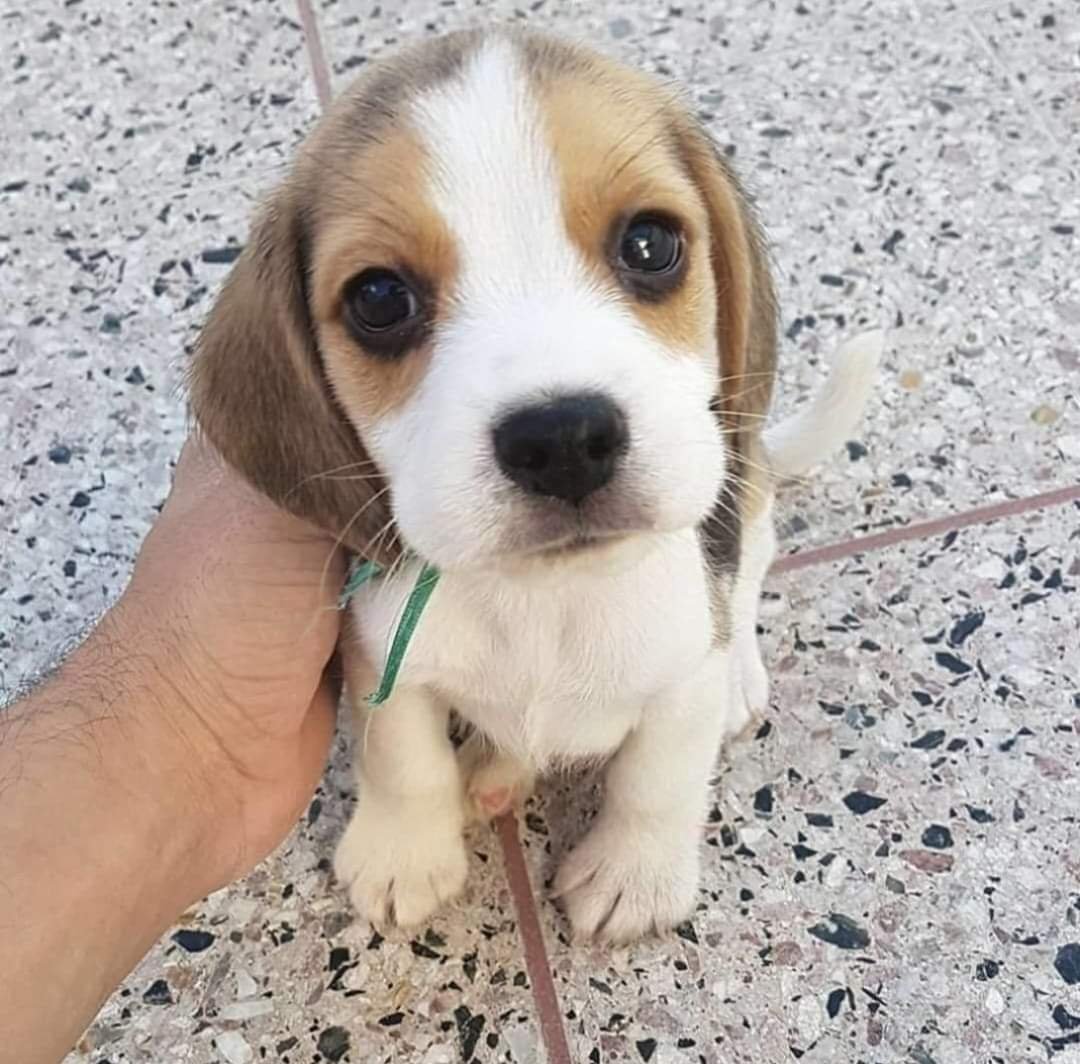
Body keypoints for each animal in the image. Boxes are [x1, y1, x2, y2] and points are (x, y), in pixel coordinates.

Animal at [189, 27, 880, 942]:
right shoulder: (379, 648)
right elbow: (401, 755)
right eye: (379, 298)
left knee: (752, 571)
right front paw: (404, 850)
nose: (563, 440)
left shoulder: (681, 670)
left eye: (650, 245)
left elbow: (658, 778)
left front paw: (634, 876)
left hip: (747, 497)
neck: (545, 598)